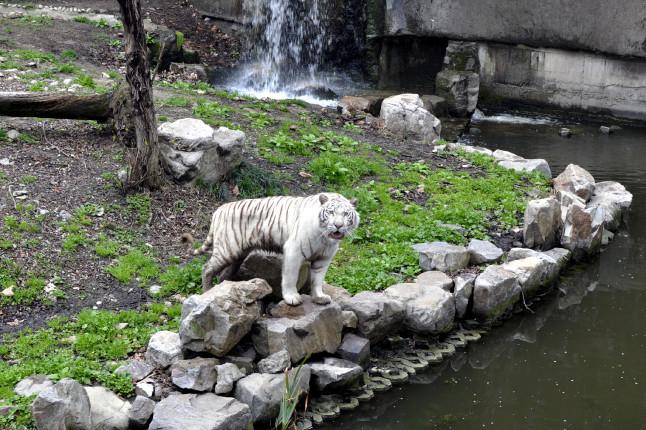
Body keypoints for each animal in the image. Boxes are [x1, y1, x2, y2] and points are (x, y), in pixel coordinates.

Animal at [192, 191, 362, 306]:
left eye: (346, 214)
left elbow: (318, 280)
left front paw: (319, 297)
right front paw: (292, 298)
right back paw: (207, 292)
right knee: (207, 268)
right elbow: (290, 277)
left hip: (239, 254)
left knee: (223, 275)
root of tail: (218, 210)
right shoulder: (294, 250)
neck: (326, 239)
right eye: (331, 212)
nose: (338, 225)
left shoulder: (324, 258)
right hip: (227, 249)